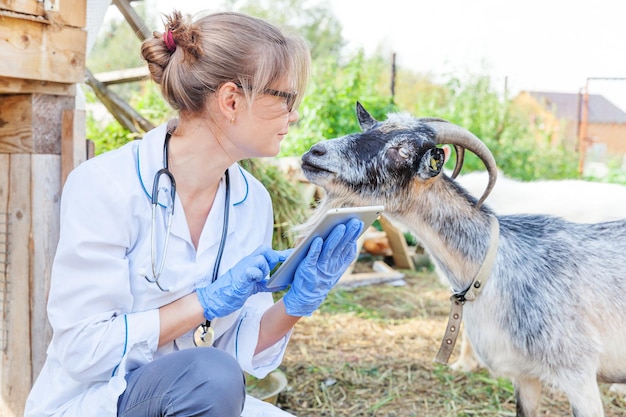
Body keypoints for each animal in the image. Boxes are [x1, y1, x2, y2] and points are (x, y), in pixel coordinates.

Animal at [296, 102, 624, 416]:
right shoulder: (524, 375)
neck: (495, 267)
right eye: (369, 129)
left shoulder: (578, 375)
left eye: (402, 150)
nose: (315, 152)